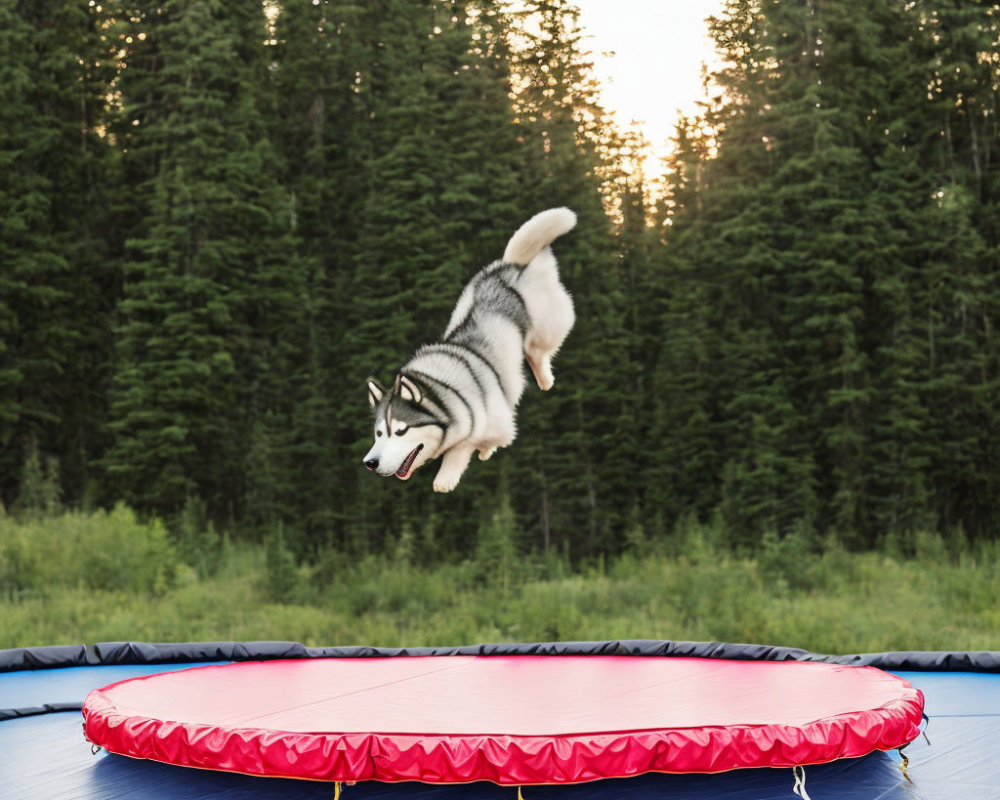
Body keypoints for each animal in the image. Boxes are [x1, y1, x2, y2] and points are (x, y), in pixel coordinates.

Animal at [364, 209, 576, 490]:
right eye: (379, 433)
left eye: (401, 431)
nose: (370, 462)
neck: (449, 391)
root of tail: (509, 265)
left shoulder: (498, 423)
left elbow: (468, 444)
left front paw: (450, 474)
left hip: (547, 328)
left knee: (538, 351)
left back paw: (544, 379)